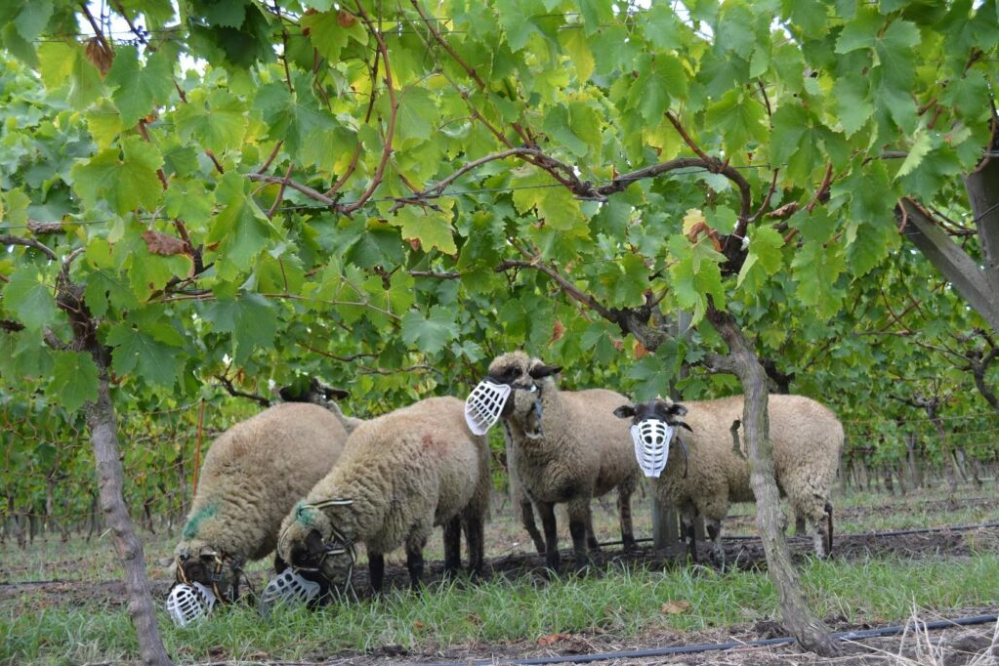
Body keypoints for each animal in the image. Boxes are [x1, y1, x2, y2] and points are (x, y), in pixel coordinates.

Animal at [274, 396, 492, 592]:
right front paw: (376, 596)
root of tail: (455, 399)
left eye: (305, 556)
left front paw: (418, 594)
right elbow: (375, 565)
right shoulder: (376, 526)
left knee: (474, 529)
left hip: (478, 489)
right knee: (452, 531)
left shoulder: (419, 520)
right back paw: (451, 573)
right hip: (452, 495)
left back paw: (475, 572)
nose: (314, 604)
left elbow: (415, 562)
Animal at [486, 348, 640, 572]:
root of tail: (618, 395)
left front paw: (582, 567)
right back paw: (594, 546)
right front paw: (551, 566)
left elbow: (575, 529)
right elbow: (550, 530)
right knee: (590, 513)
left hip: (630, 473)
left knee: (623, 504)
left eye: (514, 371)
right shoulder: (540, 494)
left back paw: (629, 544)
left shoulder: (577, 488)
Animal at [616, 394, 844, 560]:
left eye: (666, 412)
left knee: (819, 518)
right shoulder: (683, 497)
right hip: (819, 473)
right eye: (635, 415)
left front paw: (719, 562)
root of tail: (835, 423)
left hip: (807, 470)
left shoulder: (711, 488)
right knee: (828, 510)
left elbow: (712, 528)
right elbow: (688, 531)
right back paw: (831, 551)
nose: (651, 438)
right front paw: (692, 564)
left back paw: (822, 557)